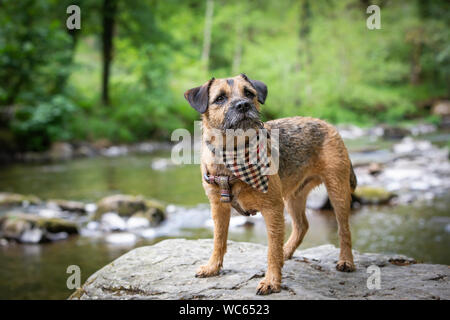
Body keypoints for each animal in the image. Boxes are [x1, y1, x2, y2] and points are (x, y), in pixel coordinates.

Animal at [185, 73, 356, 296]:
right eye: (220, 98)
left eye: (249, 93)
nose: (243, 104)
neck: (233, 155)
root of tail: (328, 124)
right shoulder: (218, 207)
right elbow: (218, 240)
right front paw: (213, 267)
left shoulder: (272, 208)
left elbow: (272, 250)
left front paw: (272, 281)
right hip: (293, 196)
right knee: (302, 225)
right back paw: (287, 251)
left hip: (337, 190)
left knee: (344, 229)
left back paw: (346, 261)